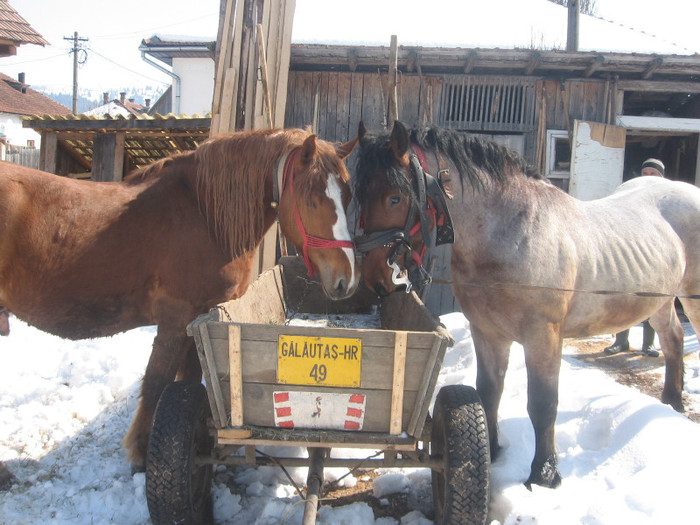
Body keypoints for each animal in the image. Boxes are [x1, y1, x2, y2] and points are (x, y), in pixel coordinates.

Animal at [0, 128, 358, 470]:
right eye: (312, 199)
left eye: (348, 195)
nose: (347, 279)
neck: (203, 214)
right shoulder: (176, 320)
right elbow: (157, 381)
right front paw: (141, 453)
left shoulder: (200, 322)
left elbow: (190, 377)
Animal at [356, 121, 700, 490]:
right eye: (360, 194)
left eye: (395, 197)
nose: (376, 278)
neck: (511, 234)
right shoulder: (487, 332)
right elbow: (489, 391)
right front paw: (491, 452)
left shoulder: (543, 337)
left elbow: (543, 403)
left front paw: (545, 473)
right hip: (660, 302)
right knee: (673, 338)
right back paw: (672, 401)